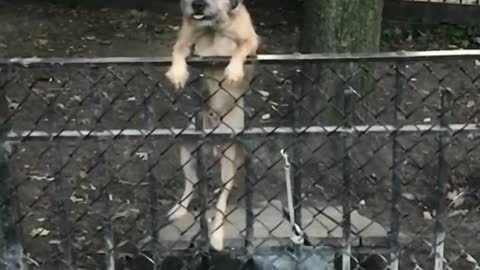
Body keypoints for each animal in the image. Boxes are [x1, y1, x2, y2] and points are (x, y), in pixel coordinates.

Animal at [164, 0, 258, 251]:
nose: (197, 5)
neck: (213, 28)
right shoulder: (187, 39)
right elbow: (178, 48)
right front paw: (178, 72)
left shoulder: (250, 42)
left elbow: (240, 49)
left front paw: (233, 71)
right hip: (187, 148)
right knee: (192, 183)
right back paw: (179, 209)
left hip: (229, 160)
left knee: (221, 202)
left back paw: (216, 236)